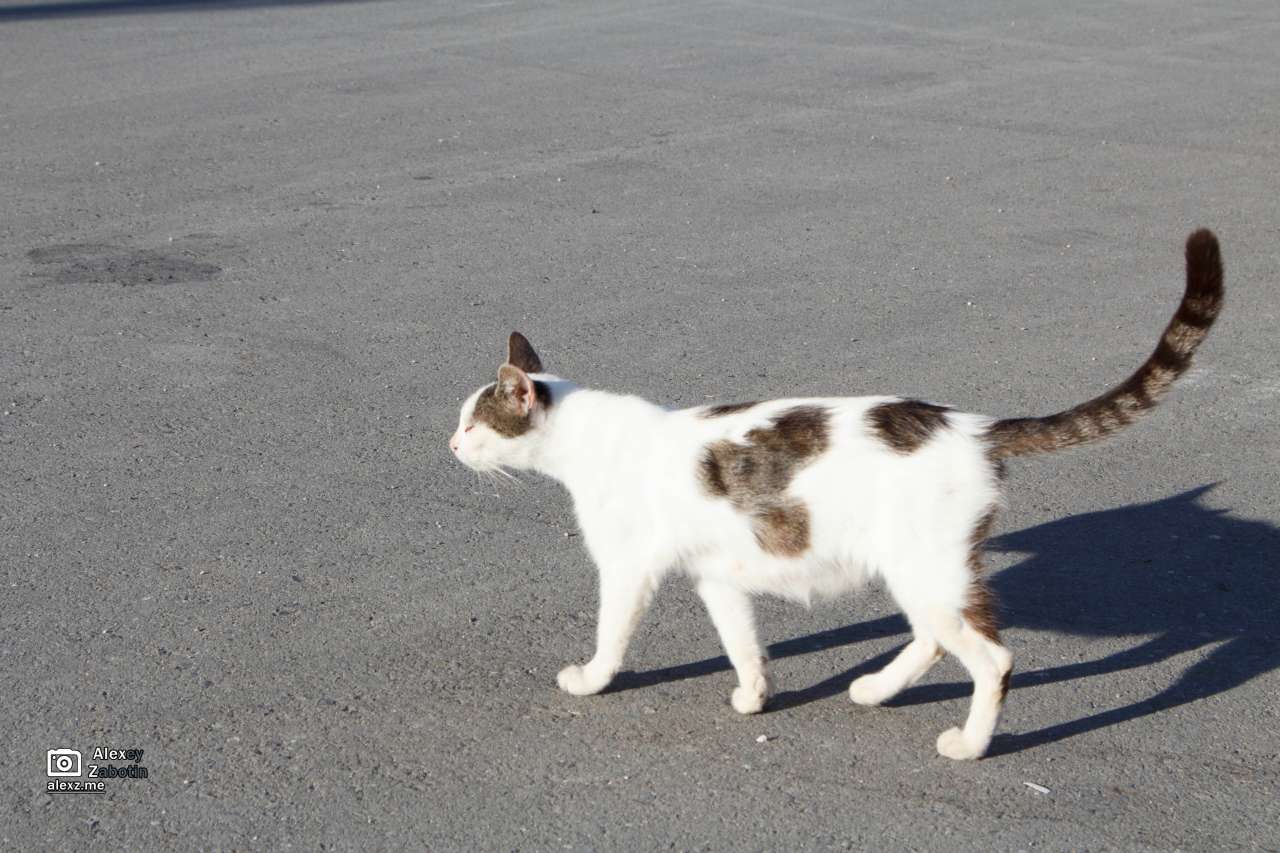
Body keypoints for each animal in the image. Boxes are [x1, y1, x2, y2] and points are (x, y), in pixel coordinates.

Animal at [449, 229, 1223, 760]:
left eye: (474, 422)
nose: (450, 446)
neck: (588, 436)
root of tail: (968, 424)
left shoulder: (627, 568)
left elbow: (612, 634)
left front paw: (591, 679)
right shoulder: (716, 577)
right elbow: (742, 643)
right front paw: (753, 696)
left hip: (925, 568)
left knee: (992, 660)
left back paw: (969, 744)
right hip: (924, 572)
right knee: (934, 640)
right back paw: (876, 688)